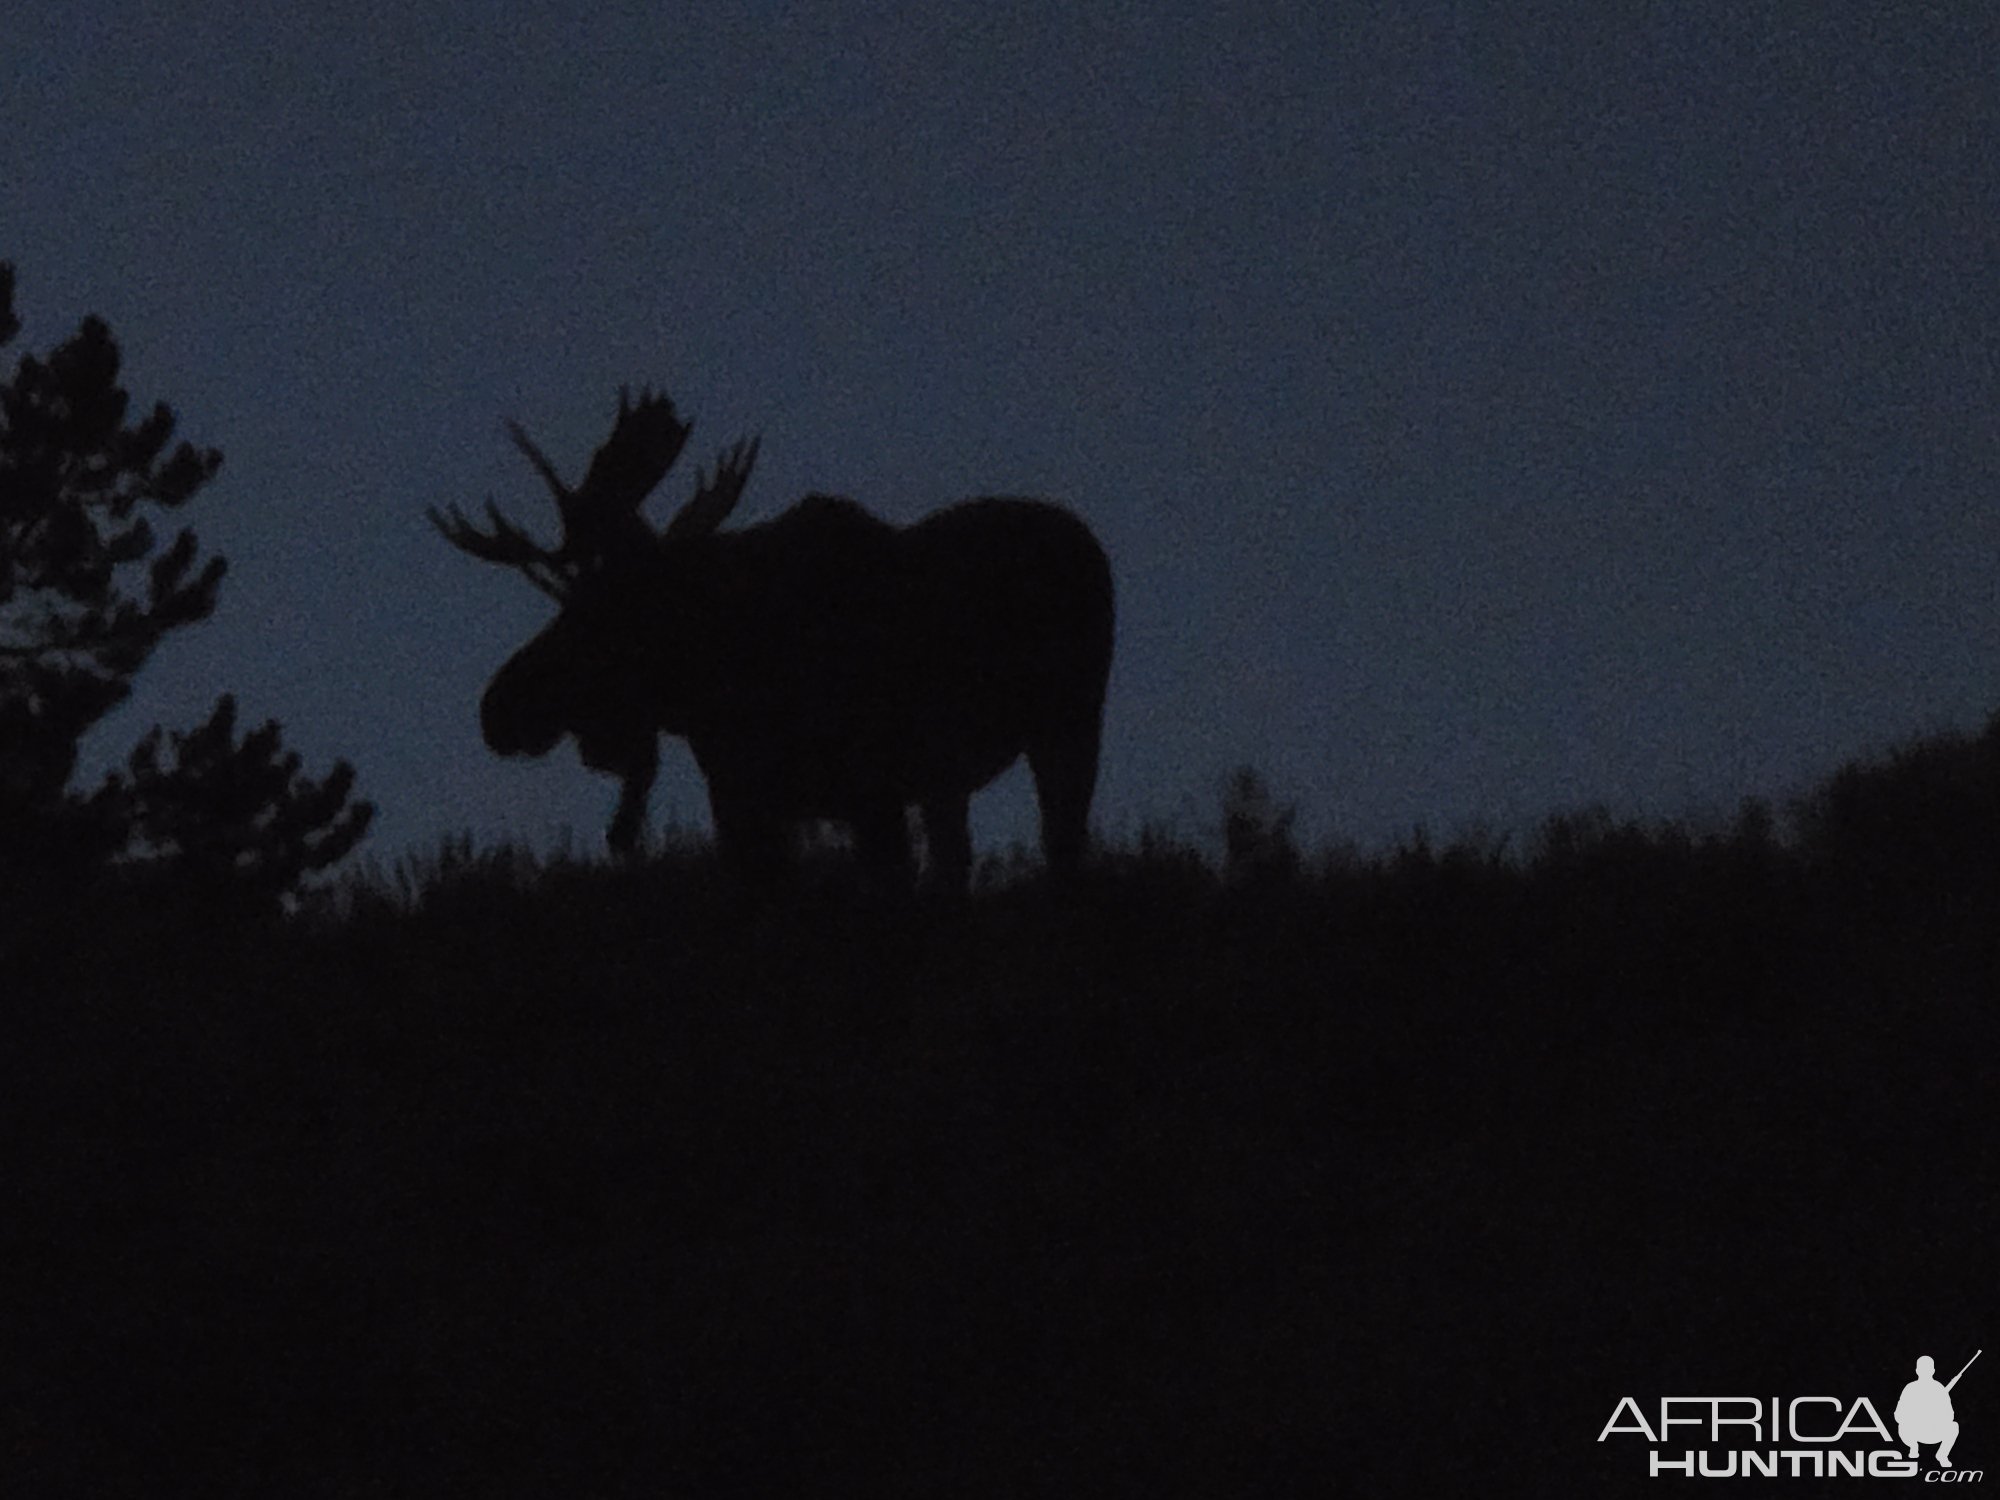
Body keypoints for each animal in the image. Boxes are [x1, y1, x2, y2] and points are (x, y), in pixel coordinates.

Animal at [430, 388, 1112, 892]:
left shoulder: (872, 794)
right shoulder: (750, 804)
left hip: (1071, 722)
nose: (498, 707)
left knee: (1058, 842)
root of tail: (1087, 541)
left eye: (591, 612)